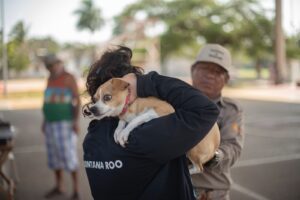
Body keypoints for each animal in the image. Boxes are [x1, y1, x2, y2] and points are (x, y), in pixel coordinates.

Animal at [84, 78, 220, 173]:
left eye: (107, 97)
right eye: (95, 99)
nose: (92, 109)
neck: (130, 105)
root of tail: (216, 146)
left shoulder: (162, 110)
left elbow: (136, 119)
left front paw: (123, 133)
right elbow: (122, 121)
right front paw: (118, 130)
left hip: (192, 149)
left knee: (199, 169)